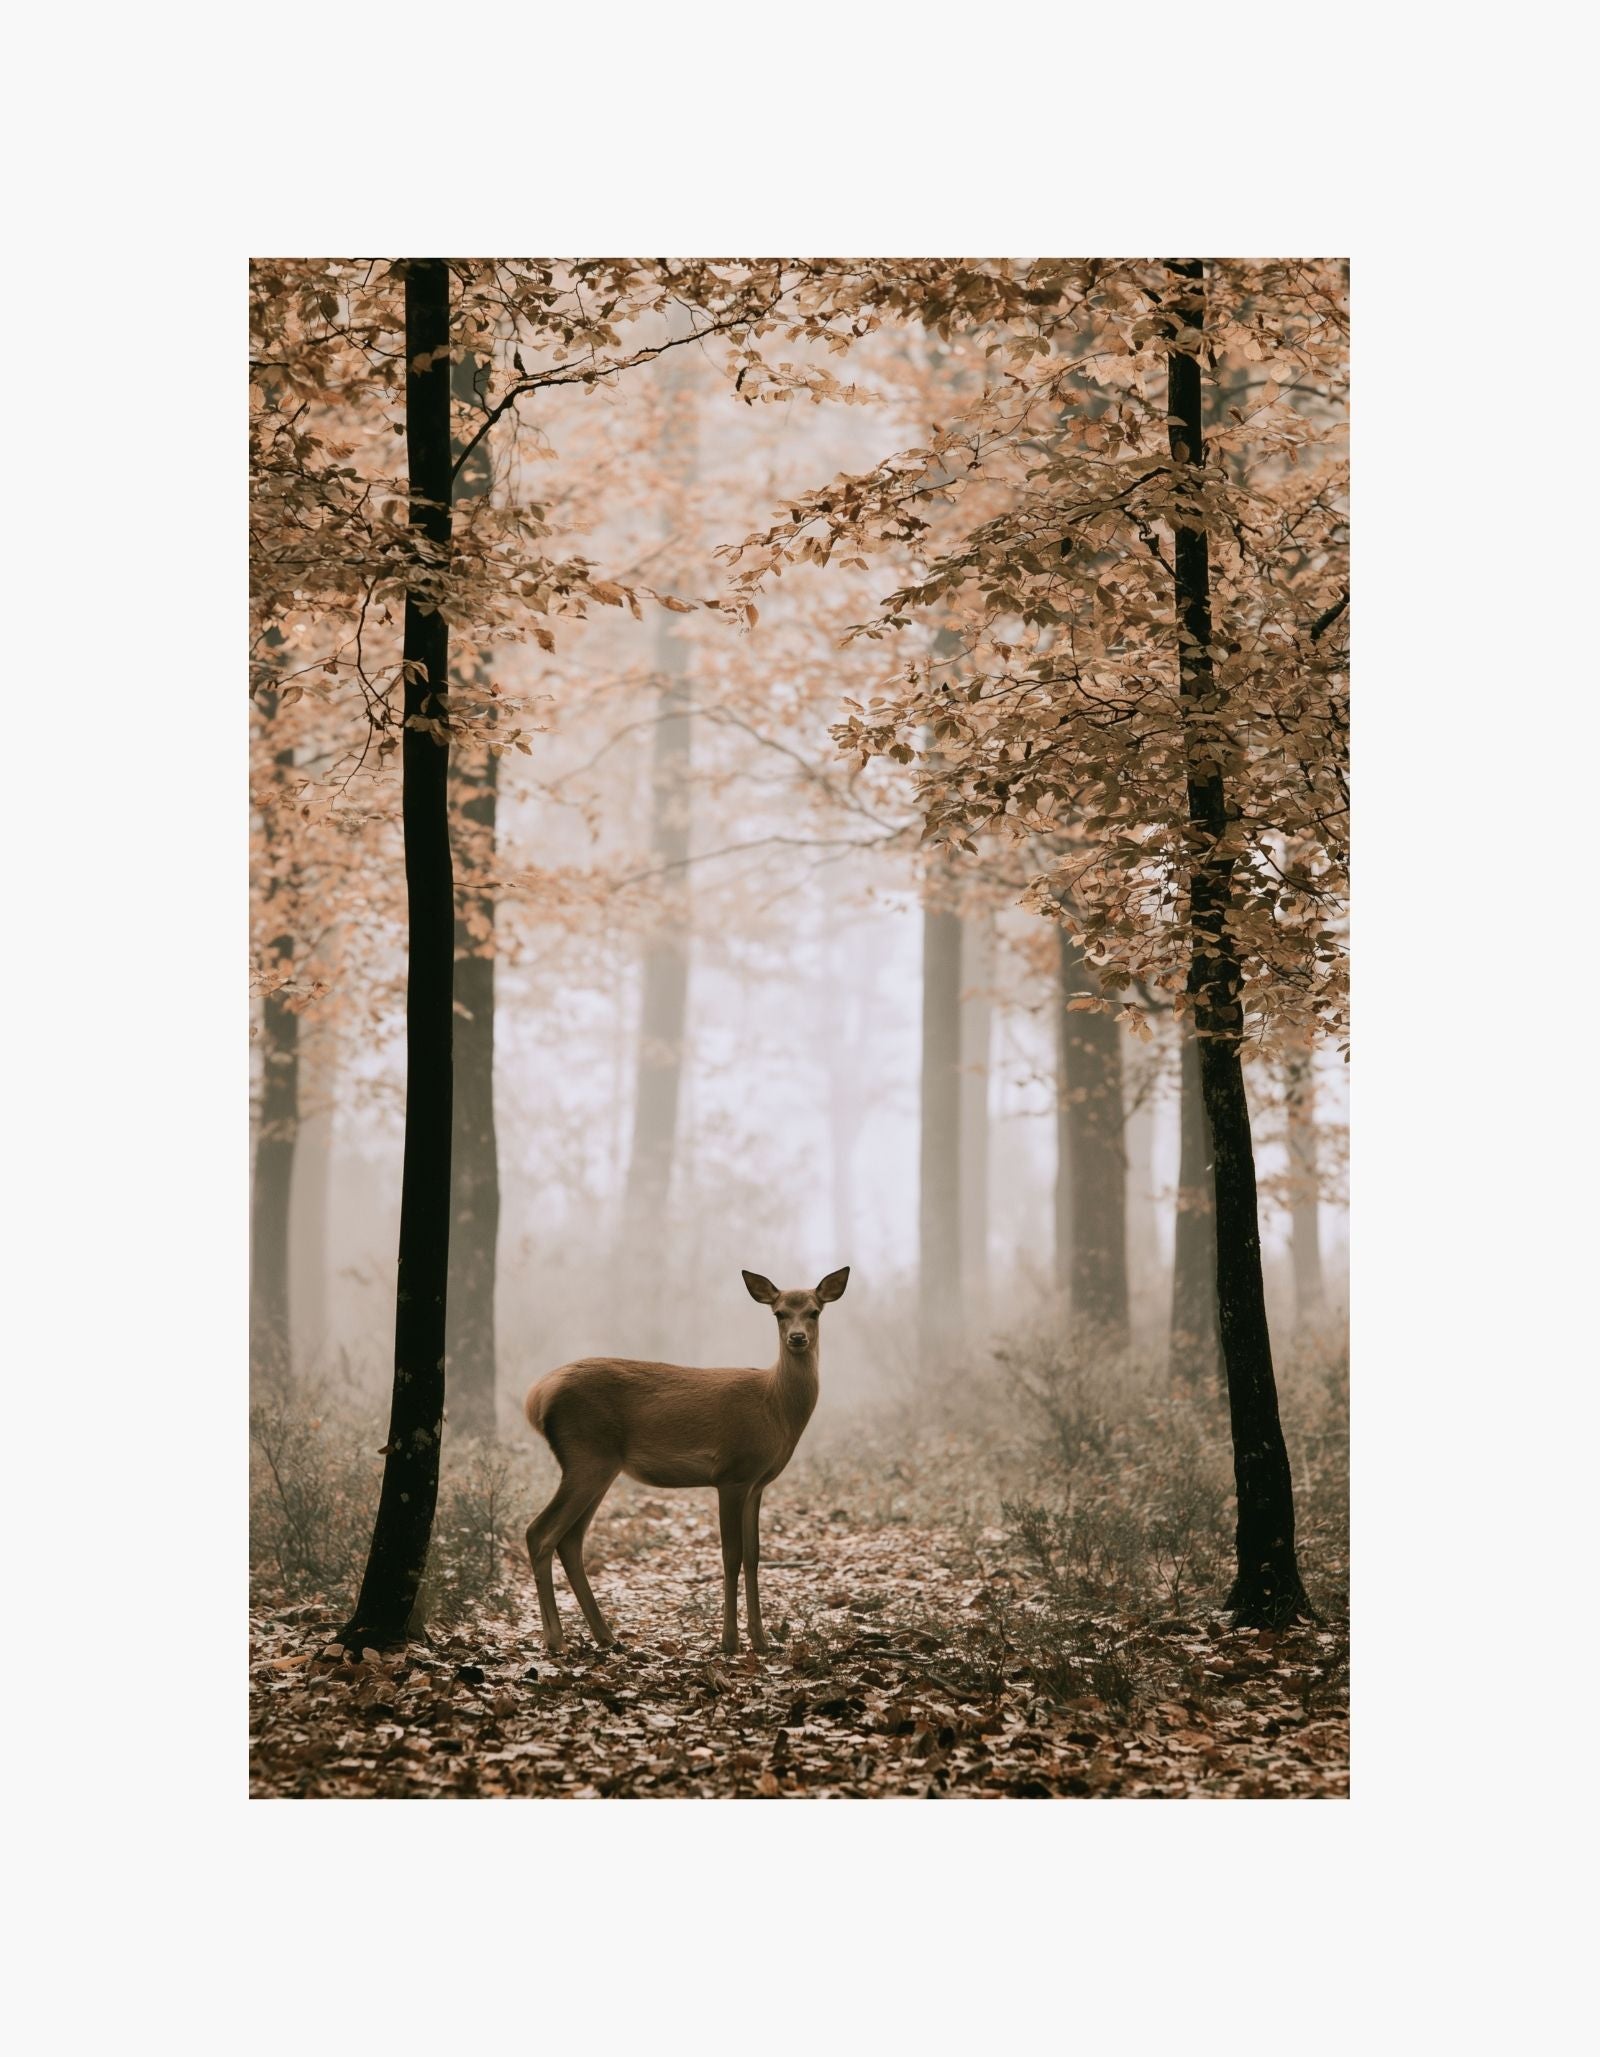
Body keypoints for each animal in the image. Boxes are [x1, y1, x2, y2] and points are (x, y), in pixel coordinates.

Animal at [522, 1266, 850, 1656]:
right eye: (779, 1313)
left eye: (814, 1311)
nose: (797, 1338)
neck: (775, 1408)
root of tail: (536, 1397)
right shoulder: (732, 1473)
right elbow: (731, 1556)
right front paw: (729, 1642)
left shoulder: (757, 1484)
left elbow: (754, 1556)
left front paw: (762, 1640)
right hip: (587, 1455)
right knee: (539, 1532)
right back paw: (556, 1639)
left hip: (599, 1465)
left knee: (570, 1540)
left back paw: (606, 1636)